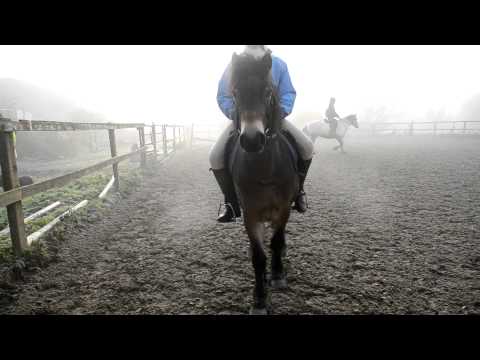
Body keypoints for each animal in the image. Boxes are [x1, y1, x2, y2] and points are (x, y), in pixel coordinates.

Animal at [227, 52, 298, 314]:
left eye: (268, 92)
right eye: (235, 93)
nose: (251, 140)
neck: (265, 167)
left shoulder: (284, 208)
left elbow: (276, 242)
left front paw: (277, 275)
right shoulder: (251, 213)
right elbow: (258, 257)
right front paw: (259, 299)